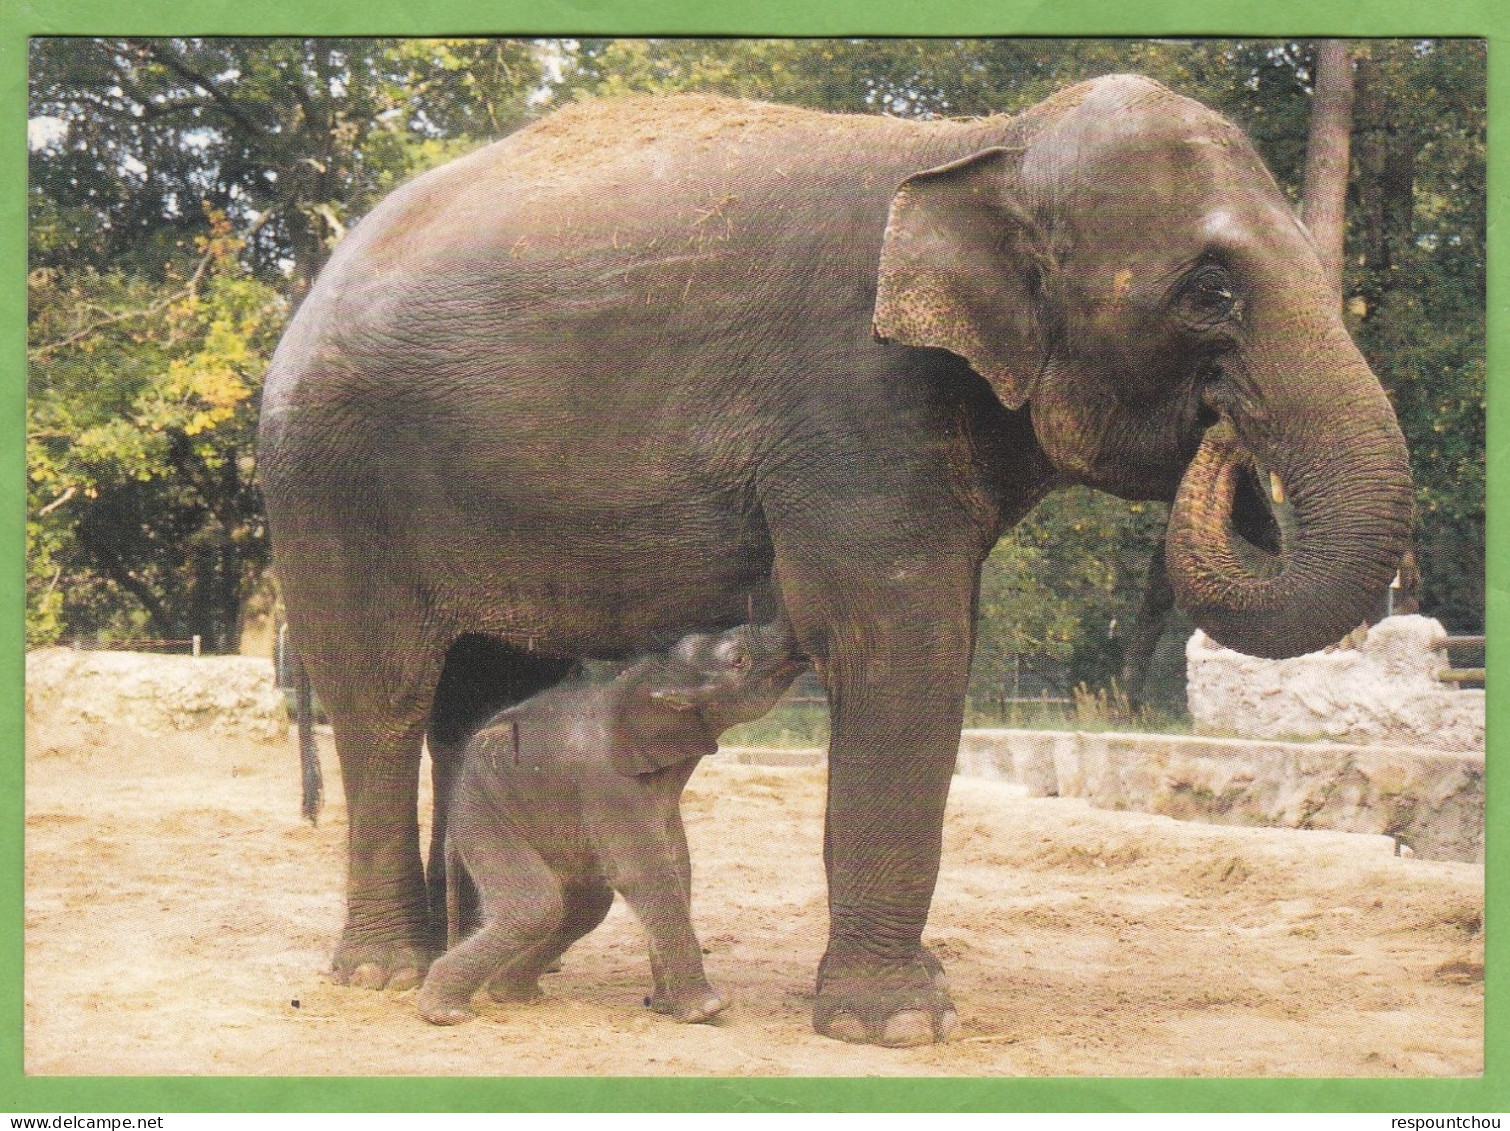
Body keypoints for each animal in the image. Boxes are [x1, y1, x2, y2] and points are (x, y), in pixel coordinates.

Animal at [416, 619, 803, 1020]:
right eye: (738, 660)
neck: (650, 678)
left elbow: (677, 868)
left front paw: (666, 1008)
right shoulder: (608, 783)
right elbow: (644, 874)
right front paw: (708, 1010)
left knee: (587, 903)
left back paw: (511, 994)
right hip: (484, 812)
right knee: (536, 908)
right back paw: (444, 1013)